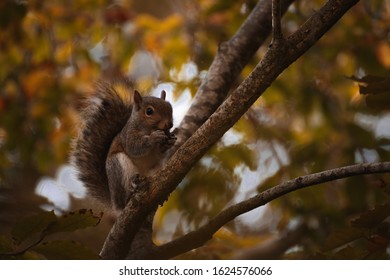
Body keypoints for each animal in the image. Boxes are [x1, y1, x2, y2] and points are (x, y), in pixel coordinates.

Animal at [72, 77, 177, 211]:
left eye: (170, 107)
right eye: (149, 111)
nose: (169, 124)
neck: (148, 129)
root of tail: (115, 204)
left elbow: (160, 152)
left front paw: (171, 140)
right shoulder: (128, 136)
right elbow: (135, 147)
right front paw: (154, 137)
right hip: (118, 166)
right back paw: (129, 194)